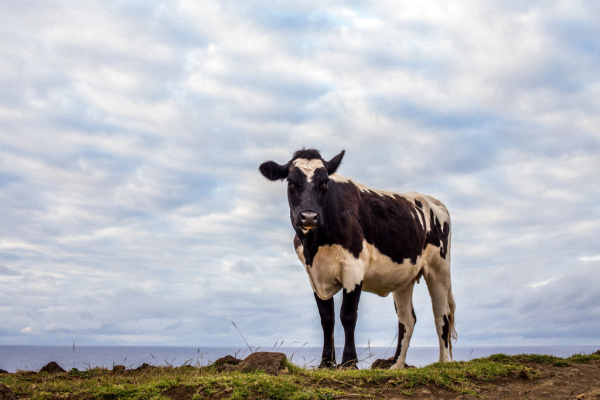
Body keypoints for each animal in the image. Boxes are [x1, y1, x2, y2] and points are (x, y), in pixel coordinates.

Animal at [258, 148, 454, 368]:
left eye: (325, 182)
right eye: (291, 182)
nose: (309, 217)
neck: (316, 244)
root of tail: (431, 200)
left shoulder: (354, 267)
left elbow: (348, 315)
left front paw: (349, 362)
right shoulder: (314, 274)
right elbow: (327, 318)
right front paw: (326, 363)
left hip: (439, 268)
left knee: (441, 315)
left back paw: (443, 363)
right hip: (405, 277)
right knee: (407, 319)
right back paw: (396, 365)